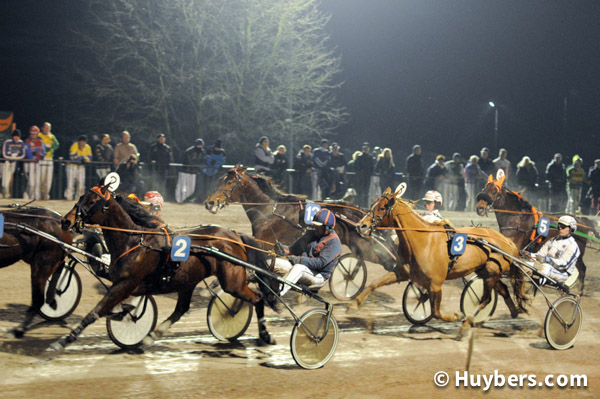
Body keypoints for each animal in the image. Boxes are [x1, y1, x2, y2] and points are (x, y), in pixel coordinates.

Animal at [52, 184, 278, 350]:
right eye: (81, 197)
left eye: (91, 201)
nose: (65, 221)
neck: (134, 242)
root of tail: (235, 235)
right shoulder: (132, 285)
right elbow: (123, 308)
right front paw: (127, 315)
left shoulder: (124, 285)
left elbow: (96, 311)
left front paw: (64, 340)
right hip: (189, 280)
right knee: (181, 309)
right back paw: (152, 335)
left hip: (233, 282)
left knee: (258, 298)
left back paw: (265, 335)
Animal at [204, 166, 400, 272]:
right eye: (220, 180)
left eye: (229, 182)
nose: (209, 203)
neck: (269, 210)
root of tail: (361, 214)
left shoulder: (264, 243)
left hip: (367, 248)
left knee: (389, 261)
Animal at [354, 189, 528, 330]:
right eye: (372, 204)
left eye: (382, 208)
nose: (361, 226)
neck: (422, 239)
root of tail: (508, 241)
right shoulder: (403, 273)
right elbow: (375, 283)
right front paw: (354, 303)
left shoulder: (436, 283)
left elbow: (436, 312)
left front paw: (456, 316)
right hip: (485, 270)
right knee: (503, 289)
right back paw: (513, 311)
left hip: (492, 271)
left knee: (486, 299)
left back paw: (467, 321)